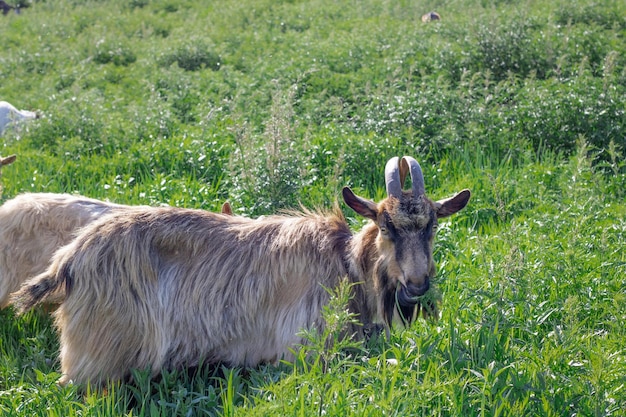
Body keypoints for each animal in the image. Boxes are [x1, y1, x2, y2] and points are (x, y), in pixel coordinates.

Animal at [12, 157, 468, 386]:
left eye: (433, 224)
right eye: (386, 225)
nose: (416, 285)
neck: (346, 264)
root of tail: (69, 260)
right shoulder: (305, 348)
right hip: (100, 353)